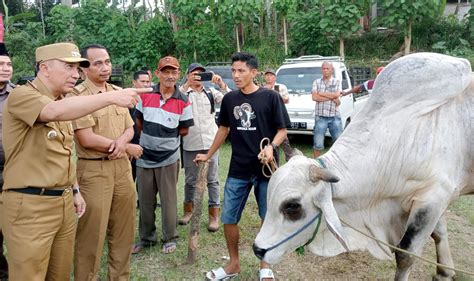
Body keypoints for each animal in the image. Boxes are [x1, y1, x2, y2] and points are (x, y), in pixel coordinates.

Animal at [254, 53, 472, 280]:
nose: (258, 249)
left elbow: (406, 255)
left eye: (292, 206)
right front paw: (444, 272)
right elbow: (440, 233)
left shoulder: (433, 198)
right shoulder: (435, 198)